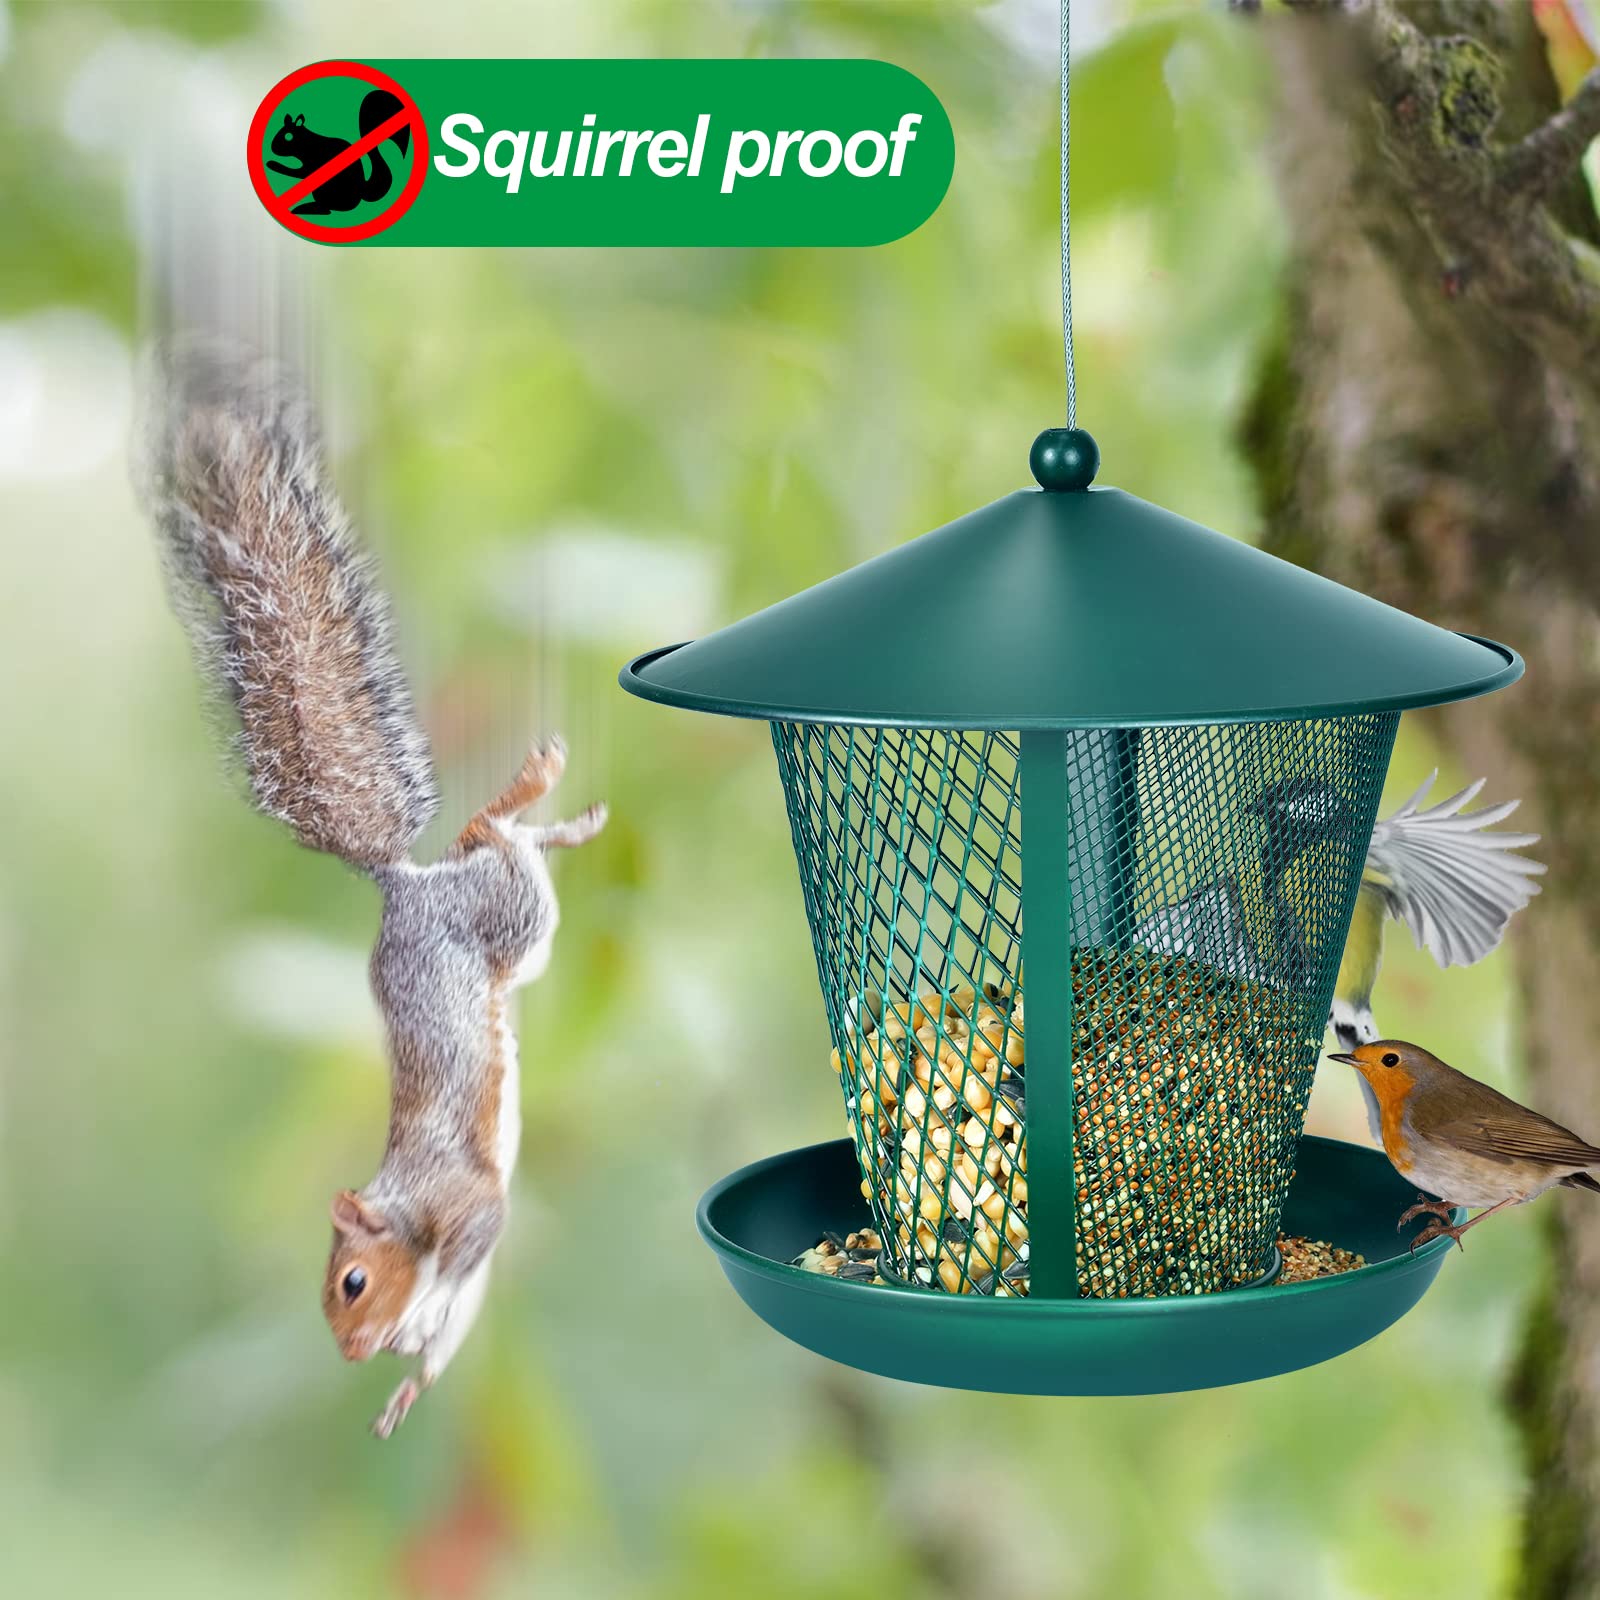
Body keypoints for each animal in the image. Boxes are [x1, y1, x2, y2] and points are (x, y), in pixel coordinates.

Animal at [138, 343, 607, 1438]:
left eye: (351, 1282)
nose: (352, 1352)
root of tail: (401, 889)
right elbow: (446, 1339)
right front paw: (404, 1387)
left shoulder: (467, 1209)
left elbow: (475, 1246)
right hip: (517, 928)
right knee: (504, 845)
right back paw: (557, 816)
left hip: (504, 921)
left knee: (495, 836)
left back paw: (534, 788)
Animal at [266, 89, 411, 217]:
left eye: (288, 136)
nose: (272, 148)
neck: (309, 144)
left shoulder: (312, 165)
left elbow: (299, 173)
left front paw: (272, 164)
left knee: (328, 209)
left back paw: (307, 208)